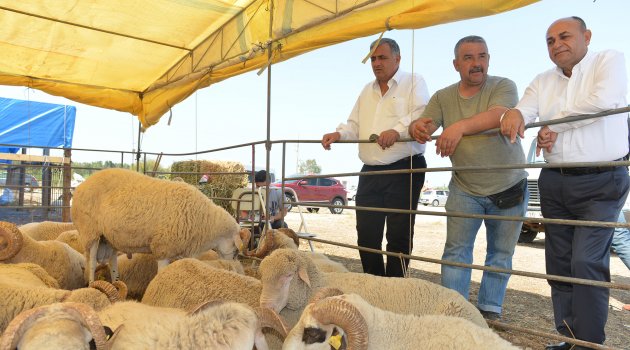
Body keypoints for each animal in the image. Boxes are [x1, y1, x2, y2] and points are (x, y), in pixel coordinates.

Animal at [70, 168, 246, 284]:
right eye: (236, 251)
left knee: (113, 262)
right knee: (92, 263)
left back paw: (116, 284)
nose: (234, 268)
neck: (205, 221)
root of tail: (80, 187)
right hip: (90, 233)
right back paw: (92, 285)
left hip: (109, 237)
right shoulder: (163, 248)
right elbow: (161, 273)